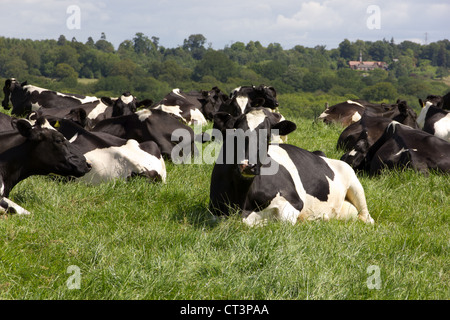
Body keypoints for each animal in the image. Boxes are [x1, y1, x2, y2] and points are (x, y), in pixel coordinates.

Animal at [209, 107, 374, 225]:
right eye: (235, 133)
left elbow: (283, 221)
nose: (248, 165)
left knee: (366, 217)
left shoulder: (294, 201)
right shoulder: (215, 212)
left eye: (267, 136)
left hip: (354, 183)